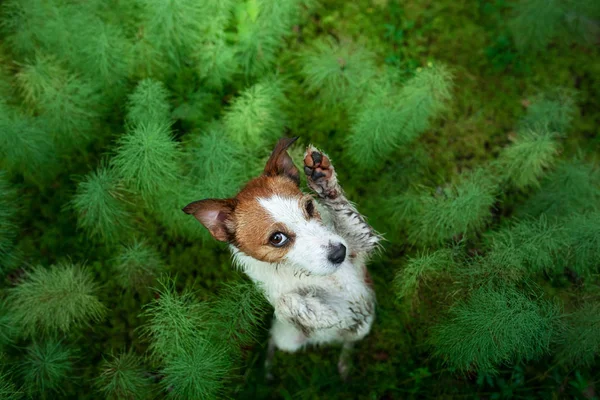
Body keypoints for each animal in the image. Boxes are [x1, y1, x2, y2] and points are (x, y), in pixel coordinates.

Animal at [183, 138, 380, 378]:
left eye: (309, 206)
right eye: (277, 238)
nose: (339, 253)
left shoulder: (361, 246)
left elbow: (345, 214)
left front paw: (322, 179)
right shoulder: (277, 293)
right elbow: (285, 302)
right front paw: (326, 314)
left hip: (364, 327)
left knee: (350, 341)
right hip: (288, 340)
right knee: (274, 340)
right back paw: (268, 367)